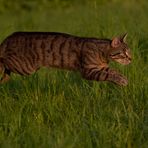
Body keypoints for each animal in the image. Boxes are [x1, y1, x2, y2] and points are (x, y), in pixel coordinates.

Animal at [0, 31, 132, 86]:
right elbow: (108, 75)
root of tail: (8, 38)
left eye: (129, 52)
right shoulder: (88, 71)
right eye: (124, 53)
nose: (131, 59)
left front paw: (123, 78)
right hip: (25, 67)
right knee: (3, 61)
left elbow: (113, 71)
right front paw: (121, 80)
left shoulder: (101, 67)